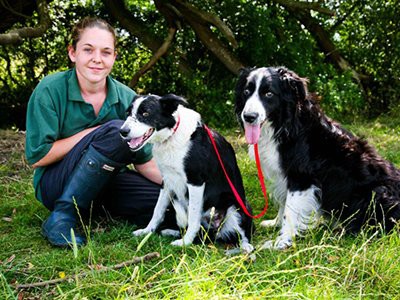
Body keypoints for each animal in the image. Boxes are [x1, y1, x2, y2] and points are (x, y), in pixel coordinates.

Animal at [120, 94, 255, 253]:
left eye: (146, 113)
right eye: (128, 113)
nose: (122, 131)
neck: (171, 136)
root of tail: (213, 231)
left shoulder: (195, 181)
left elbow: (193, 217)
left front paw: (186, 242)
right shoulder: (166, 181)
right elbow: (157, 210)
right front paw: (147, 231)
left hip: (237, 207)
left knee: (243, 235)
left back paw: (245, 247)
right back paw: (172, 232)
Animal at [234, 67, 400, 250]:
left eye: (269, 94)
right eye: (246, 92)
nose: (248, 117)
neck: (285, 125)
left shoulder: (302, 177)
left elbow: (290, 210)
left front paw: (281, 241)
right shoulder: (284, 175)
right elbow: (284, 203)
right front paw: (275, 223)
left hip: (377, 192)